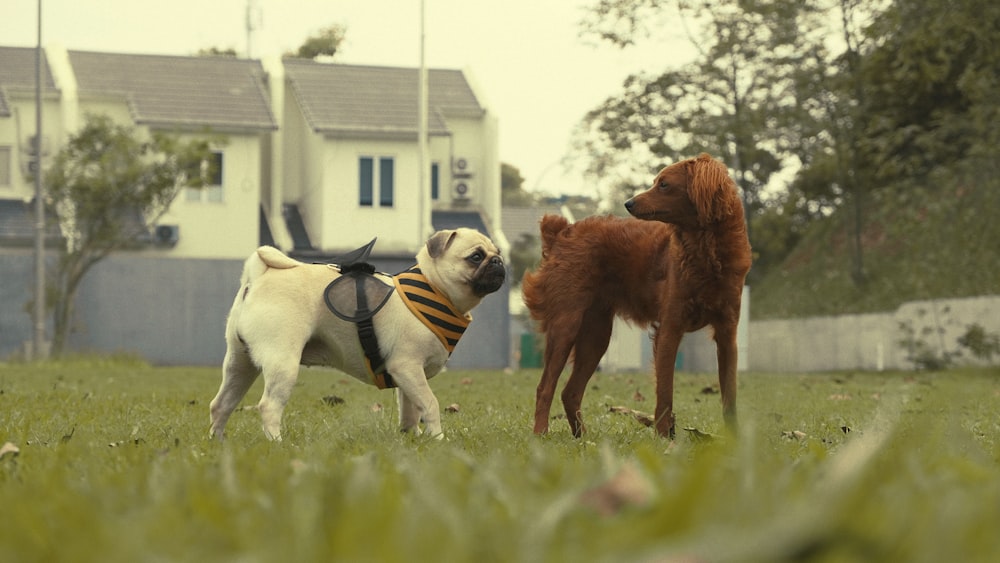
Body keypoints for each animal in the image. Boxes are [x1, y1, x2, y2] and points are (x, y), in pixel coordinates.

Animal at [211, 229, 508, 440]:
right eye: (476, 257)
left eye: (496, 252)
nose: (499, 261)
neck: (435, 289)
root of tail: (260, 276)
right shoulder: (407, 367)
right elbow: (430, 404)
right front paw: (437, 439)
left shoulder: (408, 377)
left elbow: (411, 409)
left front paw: (412, 438)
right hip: (283, 363)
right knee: (269, 407)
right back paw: (277, 444)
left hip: (239, 364)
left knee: (221, 404)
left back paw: (218, 443)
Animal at [524, 154, 752, 440]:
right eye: (656, 182)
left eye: (664, 184)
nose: (628, 203)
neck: (705, 249)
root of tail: (563, 232)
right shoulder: (669, 329)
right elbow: (665, 394)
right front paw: (665, 439)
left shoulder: (727, 334)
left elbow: (729, 397)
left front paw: (732, 440)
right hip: (566, 325)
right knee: (545, 386)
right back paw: (540, 433)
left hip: (596, 336)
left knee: (570, 391)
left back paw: (583, 438)